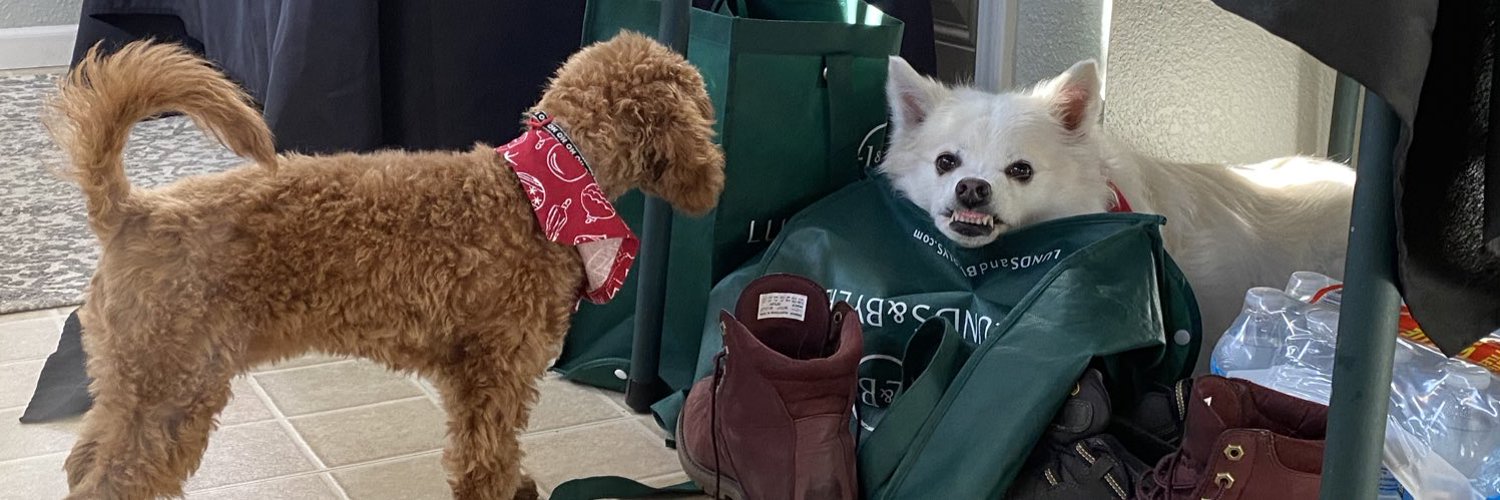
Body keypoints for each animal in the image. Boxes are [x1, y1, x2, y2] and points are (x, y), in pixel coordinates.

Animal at [46, 33, 724, 499]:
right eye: (702, 102)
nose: (716, 175)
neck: (542, 190)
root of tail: (133, 210)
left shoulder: (477, 379)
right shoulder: (495, 372)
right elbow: (487, 462)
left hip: (133, 384)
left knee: (85, 462)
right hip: (172, 387)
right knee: (109, 479)